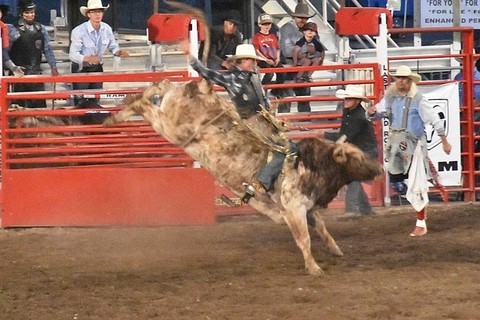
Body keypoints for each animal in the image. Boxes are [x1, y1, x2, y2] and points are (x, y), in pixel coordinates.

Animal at [105, 78, 382, 276]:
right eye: (355, 157)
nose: (379, 168)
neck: (312, 164)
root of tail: (198, 88)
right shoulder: (293, 209)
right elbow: (304, 239)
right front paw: (314, 268)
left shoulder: (308, 208)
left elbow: (323, 230)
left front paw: (335, 250)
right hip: (171, 126)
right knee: (146, 104)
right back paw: (115, 115)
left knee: (157, 88)